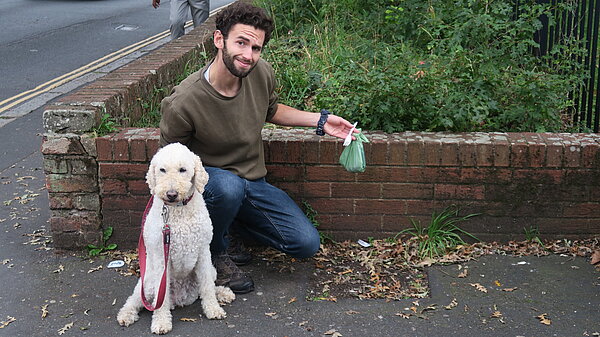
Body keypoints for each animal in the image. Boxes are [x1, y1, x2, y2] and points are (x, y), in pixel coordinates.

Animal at [117, 142, 234, 334]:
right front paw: (161, 322)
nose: (171, 194)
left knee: (206, 287)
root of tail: (180, 298)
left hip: (211, 269)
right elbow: (161, 297)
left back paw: (223, 293)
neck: (178, 210)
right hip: (147, 281)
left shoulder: (203, 252)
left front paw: (213, 309)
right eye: (162, 170)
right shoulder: (160, 259)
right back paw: (126, 315)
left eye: (183, 169)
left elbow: (207, 287)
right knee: (136, 300)